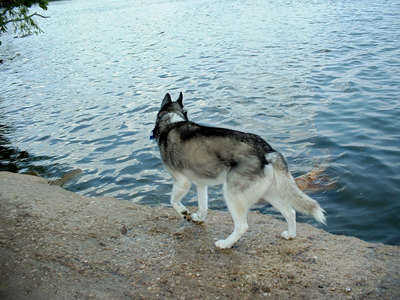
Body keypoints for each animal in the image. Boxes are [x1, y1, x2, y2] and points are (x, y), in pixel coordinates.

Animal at [152, 92, 326, 247]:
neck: (170, 122)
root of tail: (266, 150)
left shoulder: (182, 182)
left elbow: (173, 201)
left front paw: (184, 213)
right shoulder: (201, 184)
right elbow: (203, 206)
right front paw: (198, 217)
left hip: (232, 194)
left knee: (242, 226)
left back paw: (225, 244)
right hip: (269, 193)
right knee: (291, 212)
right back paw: (290, 234)